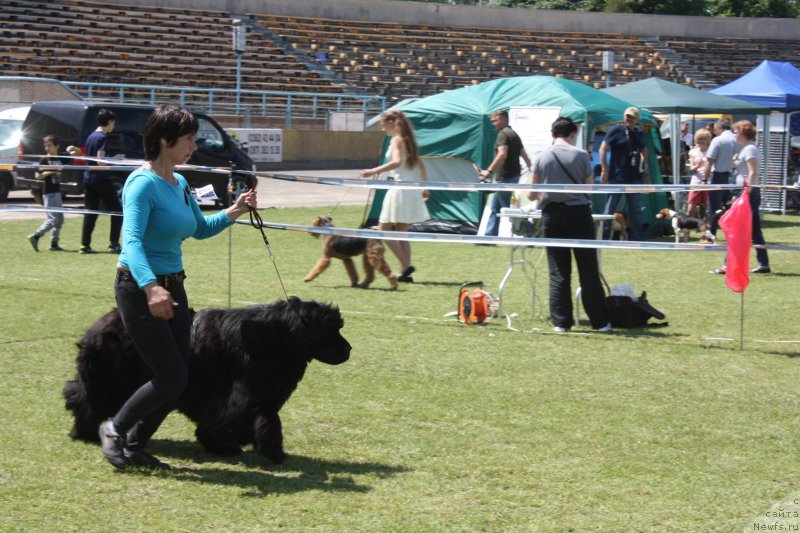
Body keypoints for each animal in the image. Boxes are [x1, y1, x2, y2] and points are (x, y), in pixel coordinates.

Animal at [62, 298, 350, 464]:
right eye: (331, 330)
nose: (348, 349)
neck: (278, 338)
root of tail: (98, 327)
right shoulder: (242, 395)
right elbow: (245, 419)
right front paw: (230, 447)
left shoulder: (260, 397)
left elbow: (266, 419)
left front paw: (267, 449)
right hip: (113, 382)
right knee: (89, 403)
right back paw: (87, 433)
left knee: (79, 395)